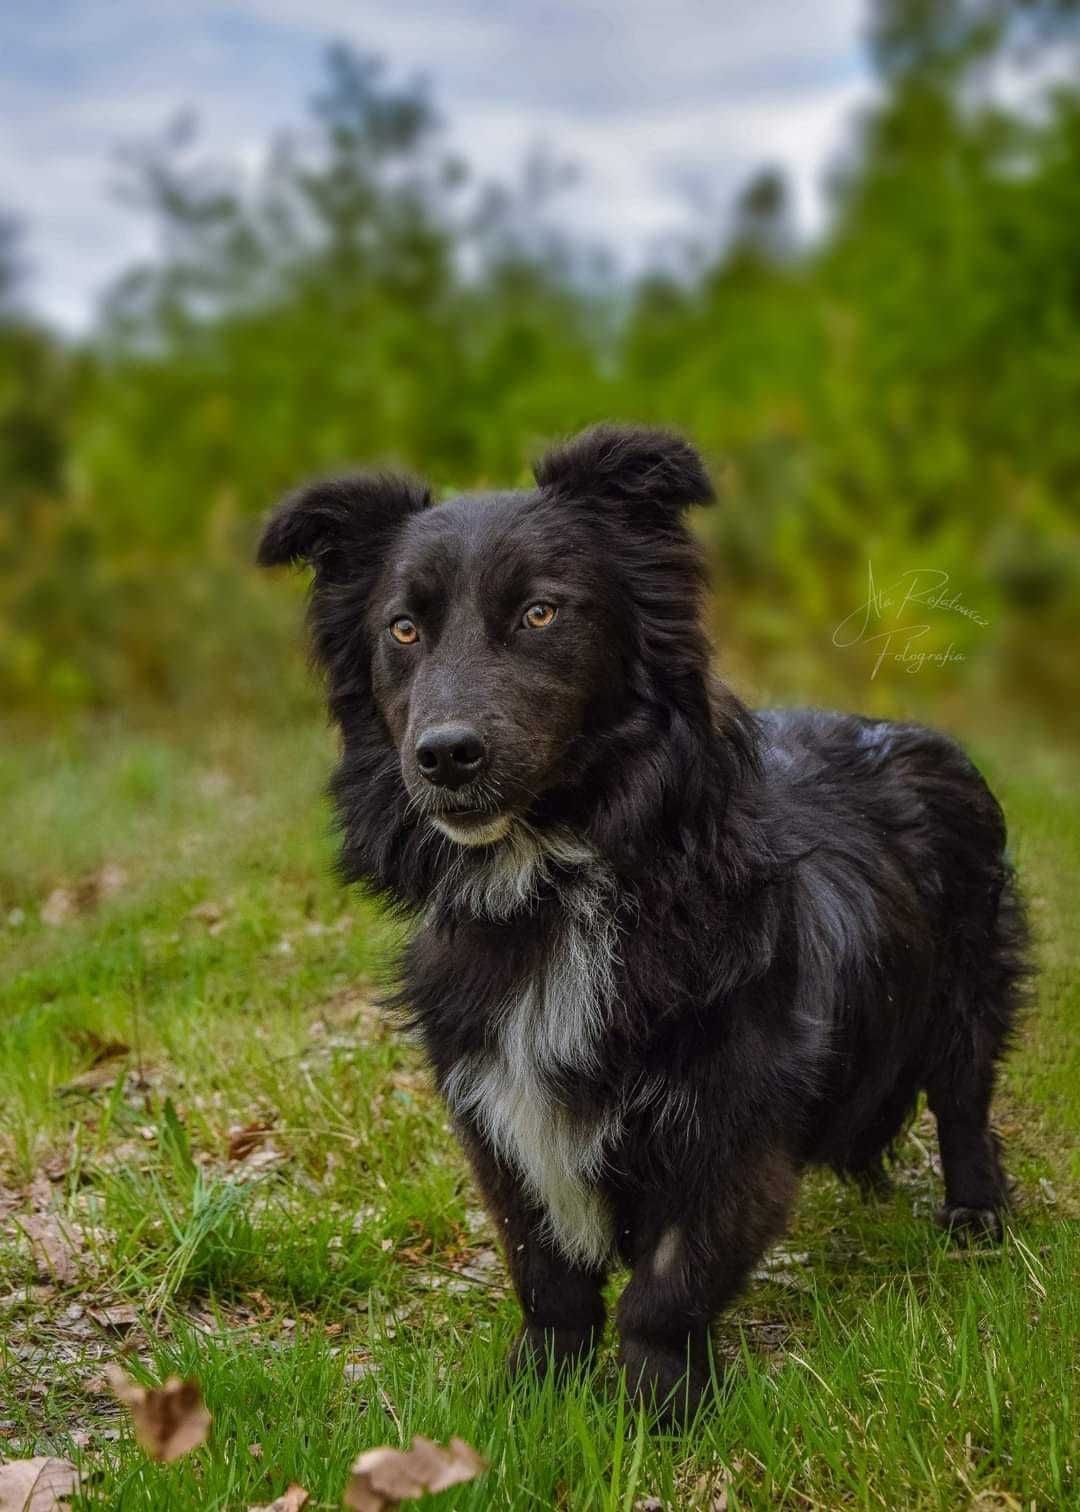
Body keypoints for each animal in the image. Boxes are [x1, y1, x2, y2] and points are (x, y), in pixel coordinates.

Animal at [257, 423, 1022, 1415]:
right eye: (403, 629)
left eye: (541, 614)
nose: (444, 757)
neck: (554, 877)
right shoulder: (496, 1105)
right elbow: (544, 1267)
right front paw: (538, 1392)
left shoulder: (731, 1111)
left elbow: (670, 1279)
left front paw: (657, 1407)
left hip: (969, 989)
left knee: (965, 1101)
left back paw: (976, 1217)